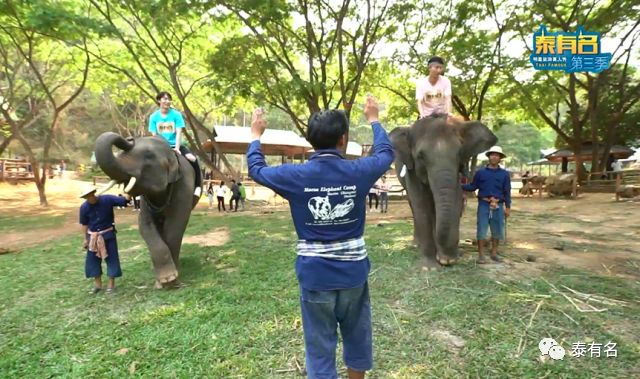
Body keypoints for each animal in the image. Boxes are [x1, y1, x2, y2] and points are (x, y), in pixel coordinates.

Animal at [95, 132, 198, 286]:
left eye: (148, 155)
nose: (129, 138)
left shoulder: (184, 183)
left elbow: (175, 224)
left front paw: (170, 280)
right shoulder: (145, 198)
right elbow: (144, 224)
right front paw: (164, 280)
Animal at [388, 117, 498, 268]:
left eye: (459, 153)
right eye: (420, 156)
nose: (446, 260)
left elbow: (456, 200)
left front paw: (447, 259)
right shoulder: (412, 170)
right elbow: (421, 205)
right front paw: (430, 266)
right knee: (413, 206)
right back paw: (416, 245)